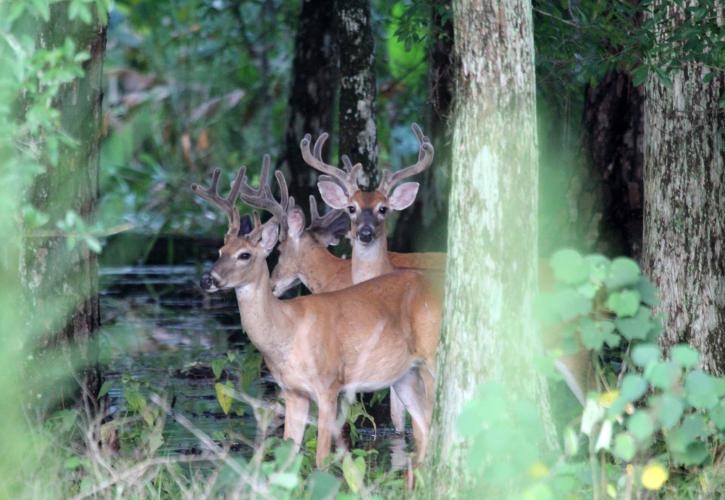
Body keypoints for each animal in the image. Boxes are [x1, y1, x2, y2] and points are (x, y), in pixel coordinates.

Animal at [189, 162, 438, 466]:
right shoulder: (293, 392)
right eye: (221, 250)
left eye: (245, 255)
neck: (288, 328)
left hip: (432, 355)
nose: (208, 280)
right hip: (404, 374)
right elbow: (287, 454)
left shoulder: (329, 384)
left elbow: (321, 457)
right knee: (423, 427)